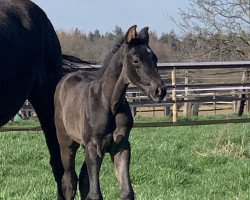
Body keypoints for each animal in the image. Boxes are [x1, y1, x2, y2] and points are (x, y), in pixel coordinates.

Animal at [54, 25, 166, 200]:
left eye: (155, 58)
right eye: (136, 61)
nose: (159, 91)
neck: (108, 103)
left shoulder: (121, 145)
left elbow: (126, 191)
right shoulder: (93, 146)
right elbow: (95, 194)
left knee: (83, 179)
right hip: (67, 142)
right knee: (69, 180)